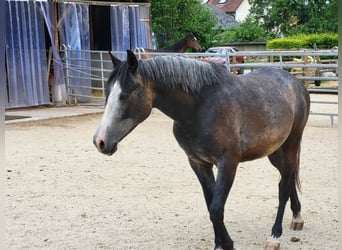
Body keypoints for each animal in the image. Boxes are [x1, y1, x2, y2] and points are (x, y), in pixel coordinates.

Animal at [93, 49, 310, 249]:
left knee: (284, 185)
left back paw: (275, 235)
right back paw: (297, 217)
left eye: (125, 95)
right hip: (274, 151)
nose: (100, 141)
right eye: (107, 92)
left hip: (291, 143)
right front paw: (221, 244)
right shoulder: (198, 163)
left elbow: (216, 208)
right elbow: (210, 204)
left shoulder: (228, 163)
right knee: (287, 177)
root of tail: (294, 81)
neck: (200, 107)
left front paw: (226, 244)